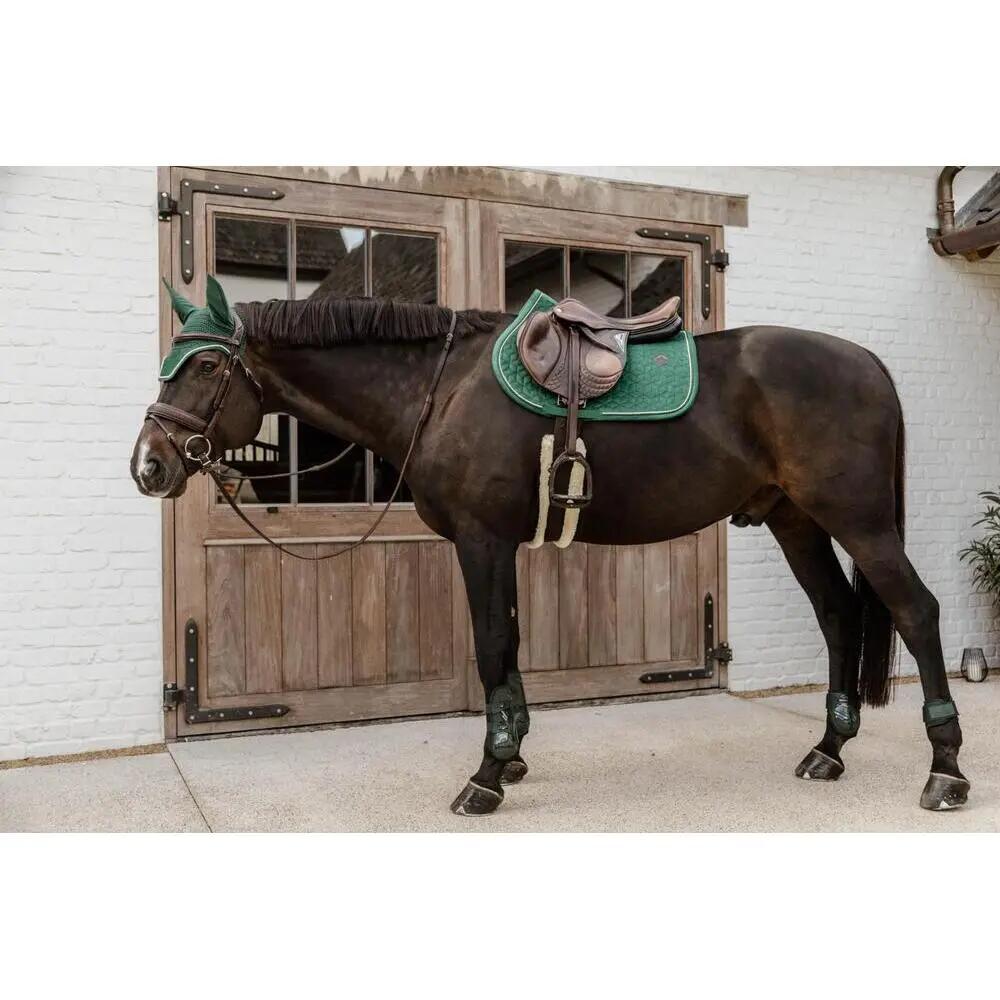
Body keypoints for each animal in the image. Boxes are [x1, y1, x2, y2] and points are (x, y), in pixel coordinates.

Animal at [131, 277, 970, 816]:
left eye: (204, 365)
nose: (150, 465)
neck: (444, 389)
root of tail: (867, 363)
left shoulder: (481, 540)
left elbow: (492, 644)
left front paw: (486, 775)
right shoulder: (497, 544)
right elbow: (509, 643)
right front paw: (512, 754)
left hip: (859, 521)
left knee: (917, 612)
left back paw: (945, 769)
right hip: (797, 521)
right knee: (838, 616)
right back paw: (828, 751)